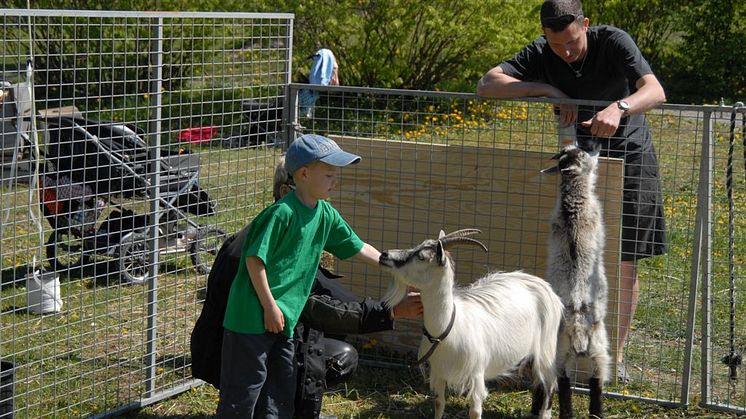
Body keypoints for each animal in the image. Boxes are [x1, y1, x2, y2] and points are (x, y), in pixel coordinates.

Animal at [380, 230, 560, 419]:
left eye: (421, 257)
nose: (384, 255)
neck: (445, 329)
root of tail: (543, 285)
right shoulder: (439, 372)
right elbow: (438, 403)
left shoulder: (476, 375)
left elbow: (474, 412)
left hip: (546, 349)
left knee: (549, 385)